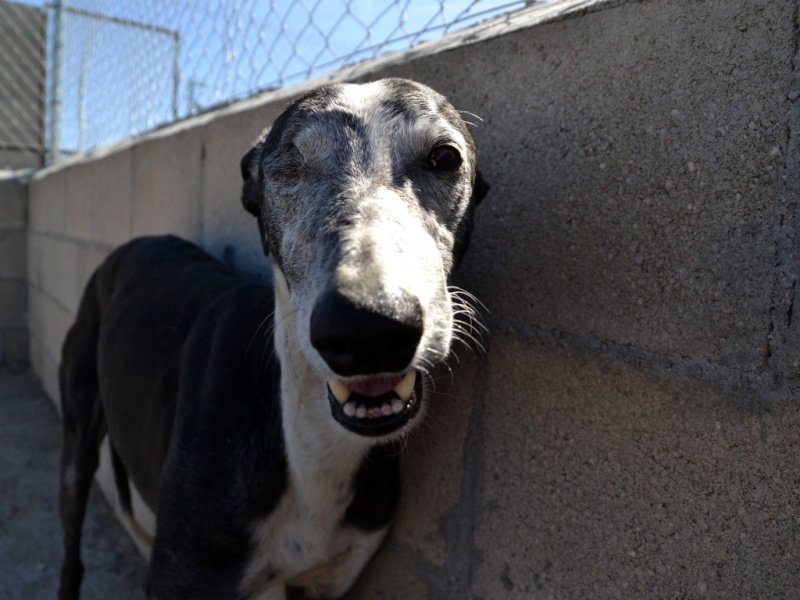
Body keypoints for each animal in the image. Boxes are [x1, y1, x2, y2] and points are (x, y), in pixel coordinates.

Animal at [57, 79, 488, 600]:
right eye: (290, 166)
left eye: (444, 157)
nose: (369, 326)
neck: (309, 445)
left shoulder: (326, 583)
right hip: (77, 440)